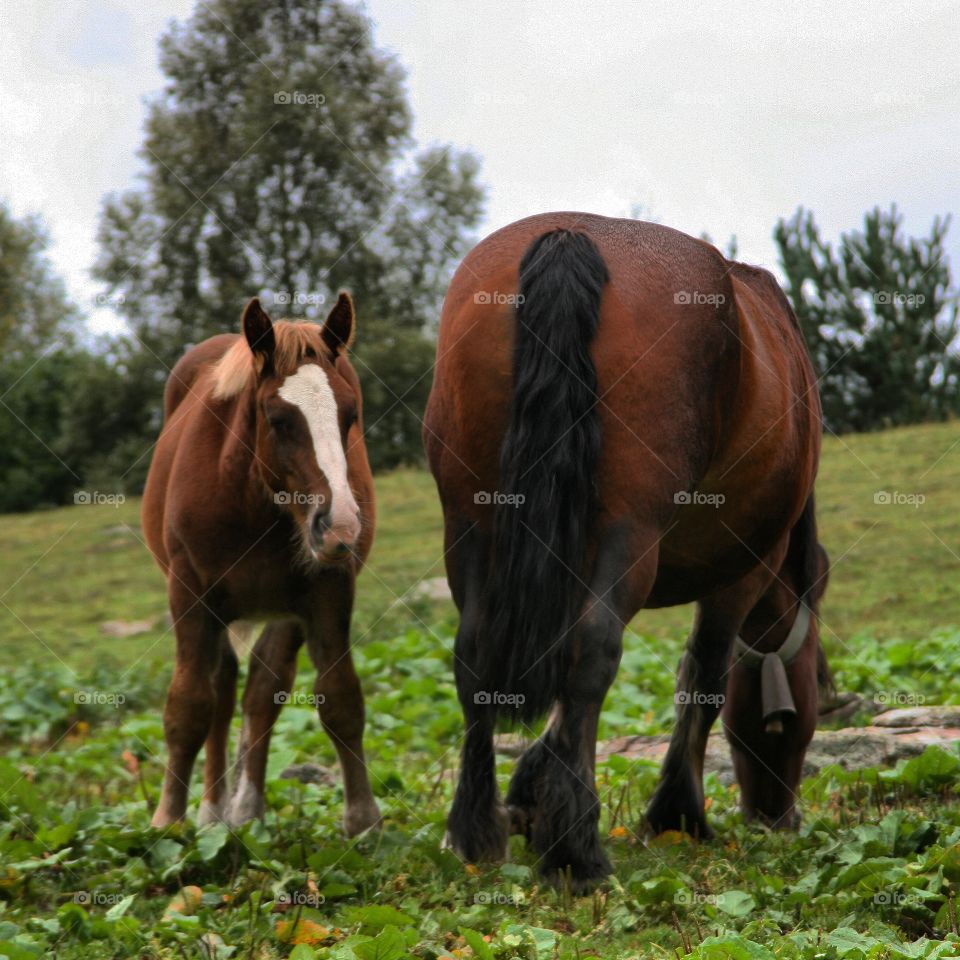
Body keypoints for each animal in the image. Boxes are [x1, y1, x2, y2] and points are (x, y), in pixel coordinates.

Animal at [141, 293, 381, 838]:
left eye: (350, 414)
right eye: (277, 418)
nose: (340, 526)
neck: (252, 500)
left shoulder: (327, 588)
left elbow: (340, 699)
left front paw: (363, 822)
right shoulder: (189, 595)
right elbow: (189, 705)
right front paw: (167, 821)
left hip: (281, 612)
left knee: (261, 691)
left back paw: (247, 808)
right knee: (222, 688)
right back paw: (213, 810)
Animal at [424, 212, 827, 889]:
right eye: (802, 715)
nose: (778, 817)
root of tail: (569, 237)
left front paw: (531, 791)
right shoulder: (746, 570)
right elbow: (704, 678)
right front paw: (676, 814)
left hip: (471, 525)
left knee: (475, 656)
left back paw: (476, 834)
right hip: (630, 534)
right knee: (594, 651)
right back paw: (577, 853)